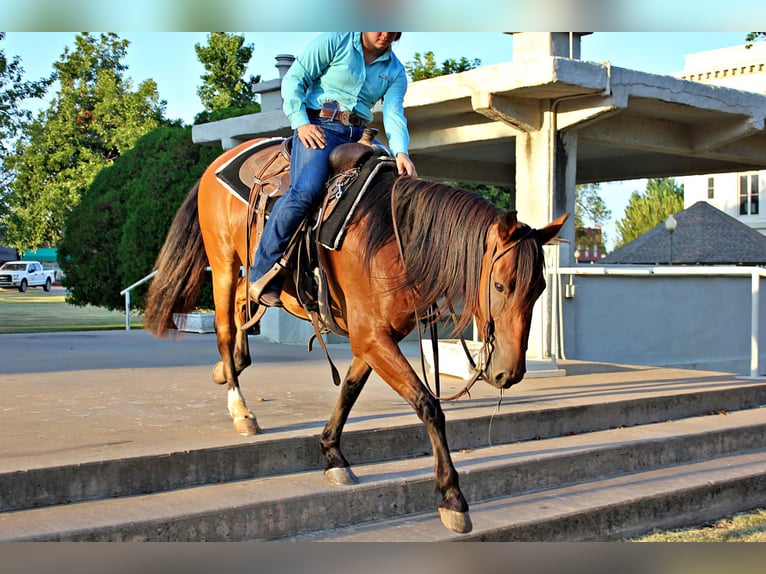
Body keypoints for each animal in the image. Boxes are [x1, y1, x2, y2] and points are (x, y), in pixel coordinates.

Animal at [144, 138, 568, 536]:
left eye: (540, 289)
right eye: (500, 285)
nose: (508, 373)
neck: (394, 238)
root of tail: (217, 163)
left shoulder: (375, 337)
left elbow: (349, 389)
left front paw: (333, 454)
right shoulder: (372, 337)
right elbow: (427, 404)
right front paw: (452, 498)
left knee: (241, 307)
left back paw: (228, 366)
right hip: (223, 263)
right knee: (224, 326)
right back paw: (240, 408)